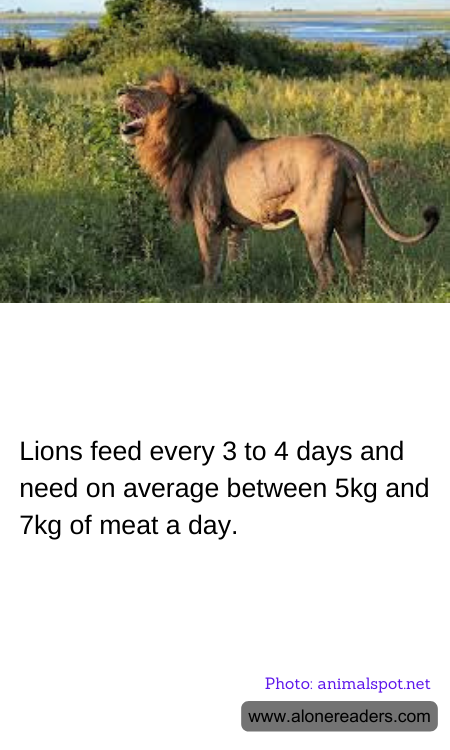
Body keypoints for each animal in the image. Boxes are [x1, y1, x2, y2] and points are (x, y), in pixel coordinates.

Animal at [117, 70, 440, 290]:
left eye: (149, 90)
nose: (120, 90)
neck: (180, 138)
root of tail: (347, 151)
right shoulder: (236, 224)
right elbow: (234, 258)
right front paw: (235, 286)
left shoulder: (207, 216)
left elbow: (209, 260)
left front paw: (206, 290)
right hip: (351, 218)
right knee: (358, 265)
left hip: (314, 223)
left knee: (328, 271)